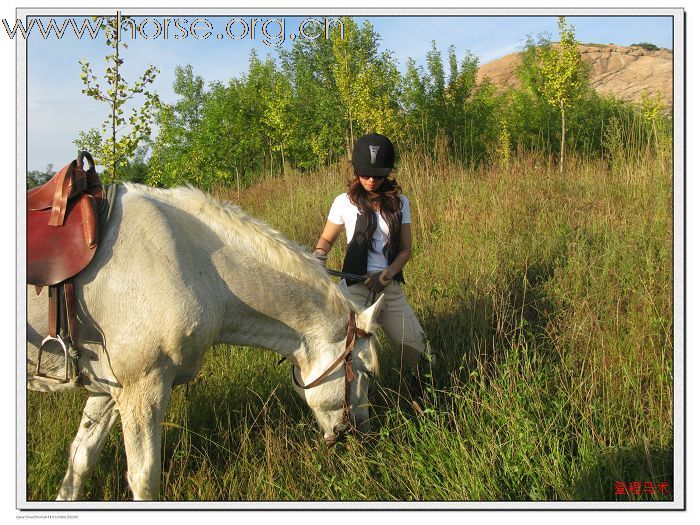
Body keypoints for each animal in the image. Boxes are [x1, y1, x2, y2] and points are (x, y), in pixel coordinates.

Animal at [26, 183, 382, 500]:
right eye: (364, 373)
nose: (364, 433)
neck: (192, 264)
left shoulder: (109, 390)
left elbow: (80, 460)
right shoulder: (143, 390)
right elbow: (144, 478)